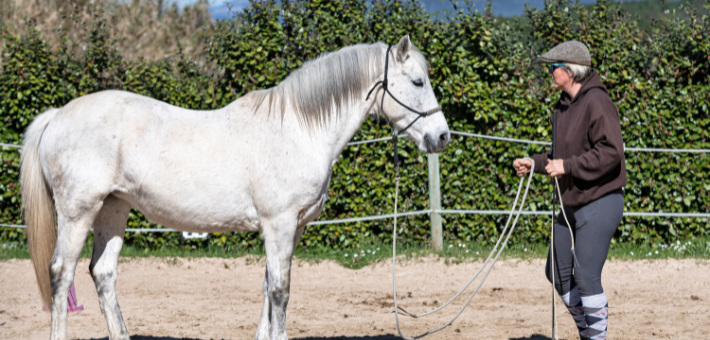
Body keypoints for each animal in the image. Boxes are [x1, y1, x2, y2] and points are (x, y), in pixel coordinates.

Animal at [23, 35, 450, 340]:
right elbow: (280, 290)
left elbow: (268, 285)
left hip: (114, 209)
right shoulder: (278, 223)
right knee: (61, 273)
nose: (442, 136)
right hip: (78, 212)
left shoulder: (293, 227)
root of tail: (57, 116)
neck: (298, 129)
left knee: (103, 273)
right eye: (417, 81)